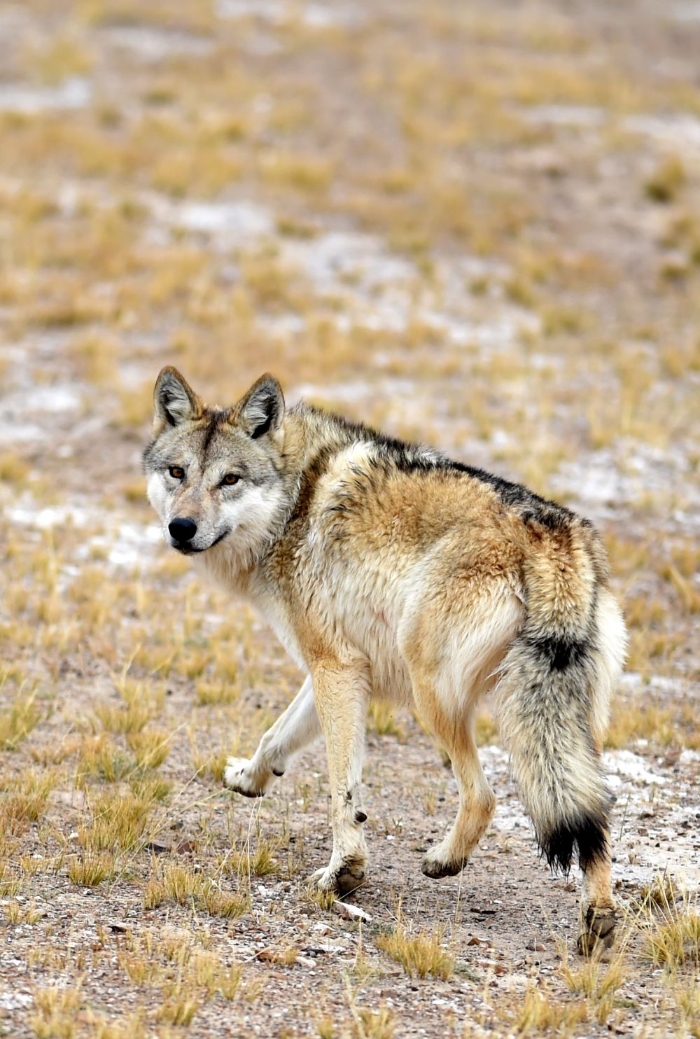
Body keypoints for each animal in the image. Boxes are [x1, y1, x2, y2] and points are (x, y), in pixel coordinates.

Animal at [143, 367, 627, 955]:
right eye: (178, 472)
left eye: (230, 479)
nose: (181, 528)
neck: (294, 503)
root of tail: (553, 539)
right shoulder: (342, 665)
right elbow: (276, 736)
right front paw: (249, 778)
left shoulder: (334, 667)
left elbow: (341, 788)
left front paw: (342, 873)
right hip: (569, 727)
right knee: (594, 811)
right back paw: (597, 920)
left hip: (433, 696)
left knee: (485, 796)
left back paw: (443, 861)